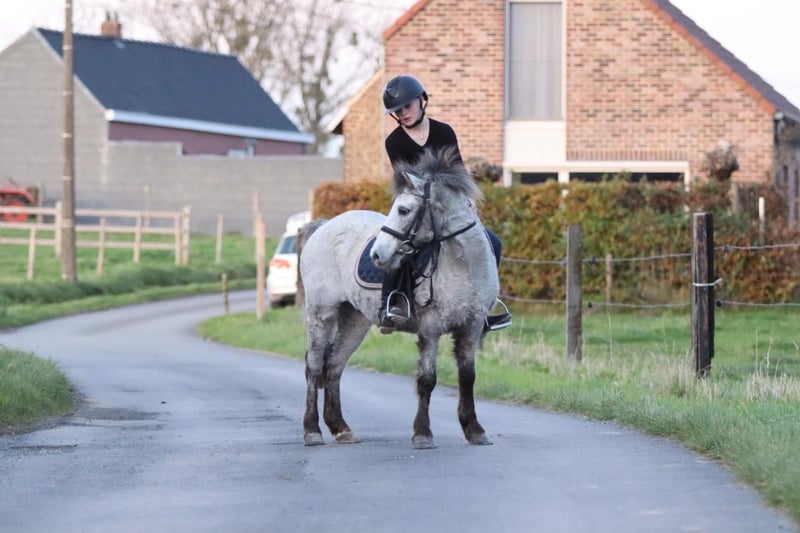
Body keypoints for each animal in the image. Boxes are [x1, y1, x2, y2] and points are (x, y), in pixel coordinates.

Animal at [299, 147, 499, 449]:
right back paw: (312, 431)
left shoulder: (471, 327)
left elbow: (467, 377)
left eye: (404, 210)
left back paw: (341, 429)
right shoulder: (430, 328)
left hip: (354, 320)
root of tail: (324, 226)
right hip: (321, 313)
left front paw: (474, 430)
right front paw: (422, 434)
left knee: (333, 365)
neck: (464, 265)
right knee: (313, 367)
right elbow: (427, 379)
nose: (377, 255)